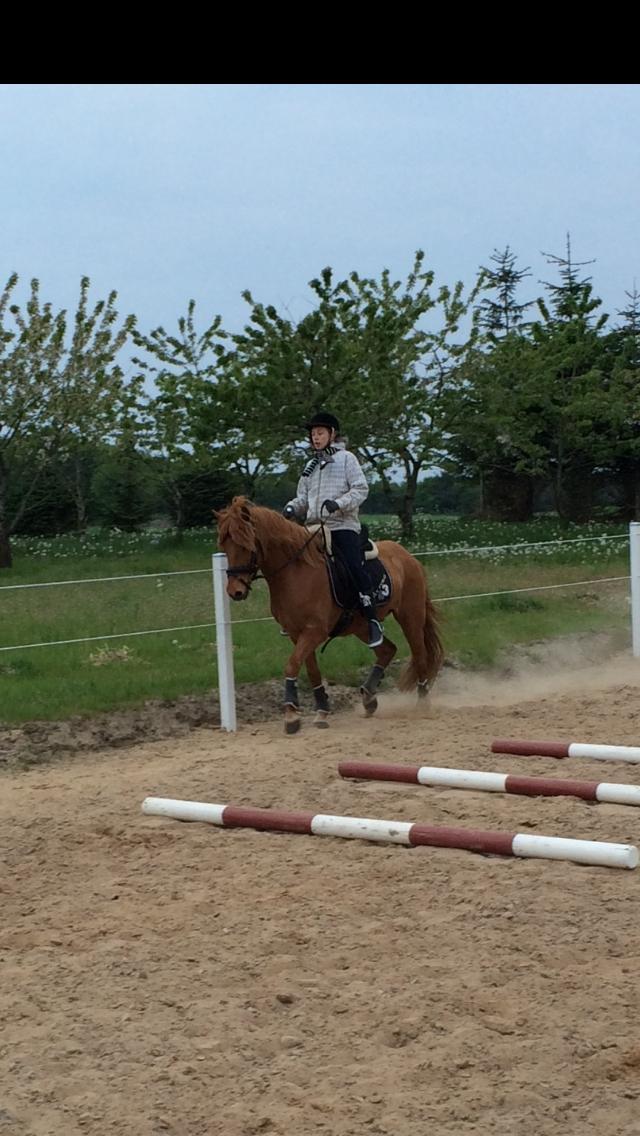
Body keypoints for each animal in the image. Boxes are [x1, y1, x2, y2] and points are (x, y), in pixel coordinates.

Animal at [218, 499, 443, 736]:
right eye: (223, 545)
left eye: (245, 544)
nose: (235, 591)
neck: (297, 572)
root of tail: (408, 556)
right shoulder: (297, 634)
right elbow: (311, 671)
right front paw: (320, 712)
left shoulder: (314, 631)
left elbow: (291, 665)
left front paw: (291, 715)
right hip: (362, 626)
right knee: (387, 650)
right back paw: (369, 698)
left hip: (411, 617)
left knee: (419, 655)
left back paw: (422, 704)